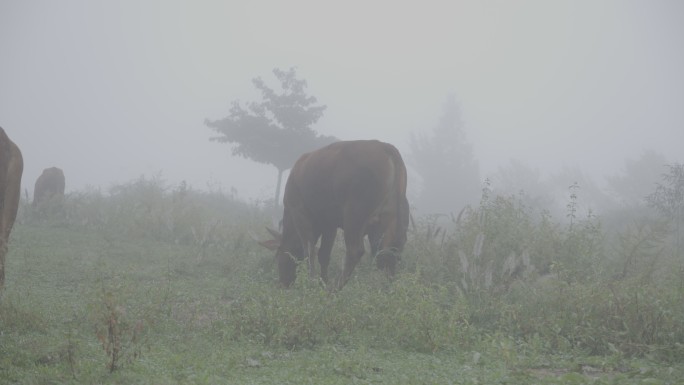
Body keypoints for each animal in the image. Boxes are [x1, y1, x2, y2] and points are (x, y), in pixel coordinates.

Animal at [264, 139, 408, 288]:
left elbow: (309, 251)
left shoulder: (299, 213)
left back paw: (335, 288)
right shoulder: (329, 224)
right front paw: (322, 281)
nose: (282, 283)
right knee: (389, 253)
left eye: (278, 256)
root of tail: (386, 147)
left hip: (354, 216)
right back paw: (387, 288)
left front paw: (312, 281)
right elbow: (323, 254)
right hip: (390, 221)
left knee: (355, 251)